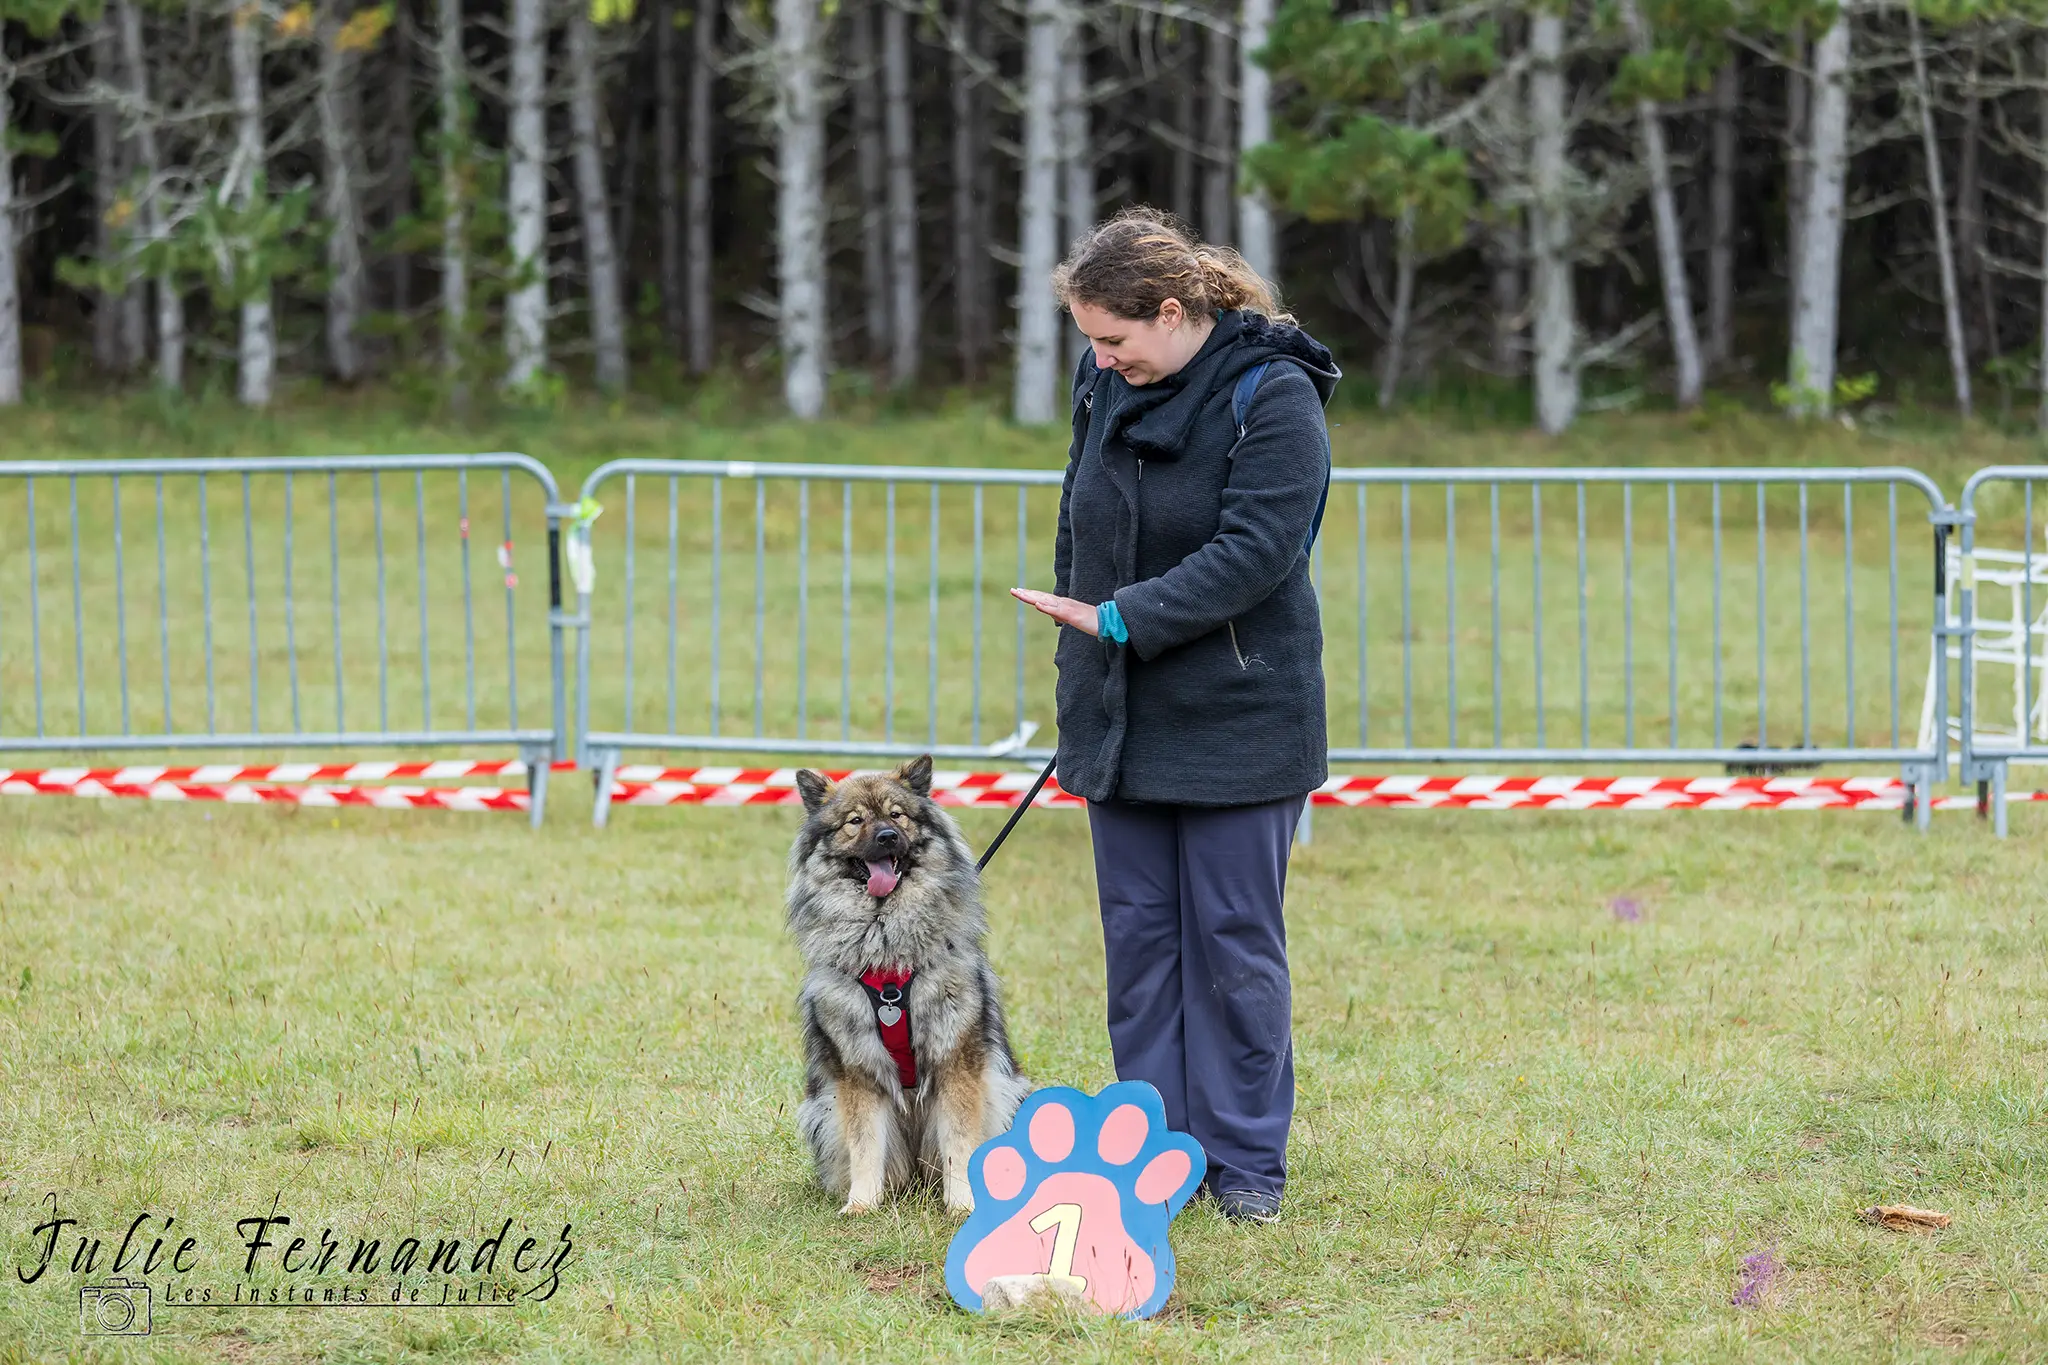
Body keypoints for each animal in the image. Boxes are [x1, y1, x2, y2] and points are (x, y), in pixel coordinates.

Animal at [786, 757, 1032, 1219]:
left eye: (897, 815)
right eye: (855, 821)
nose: (886, 837)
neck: (886, 948)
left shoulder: (956, 1060)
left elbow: (959, 1142)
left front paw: (962, 1205)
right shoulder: (857, 1069)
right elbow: (865, 1143)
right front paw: (862, 1204)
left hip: (1009, 1092)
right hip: (821, 1110)